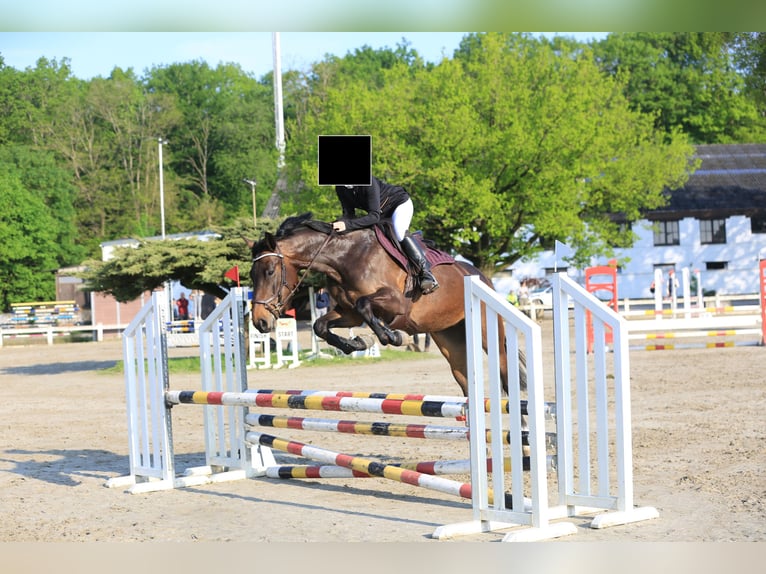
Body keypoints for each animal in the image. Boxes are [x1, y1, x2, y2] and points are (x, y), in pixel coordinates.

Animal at [249, 214, 524, 398]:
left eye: (270, 271)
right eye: (251, 275)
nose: (259, 321)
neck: (344, 258)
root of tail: (481, 276)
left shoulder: (397, 303)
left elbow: (366, 307)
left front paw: (392, 336)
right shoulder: (347, 313)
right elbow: (321, 325)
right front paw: (355, 344)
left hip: (489, 333)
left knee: (505, 373)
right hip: (450, 338)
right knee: (466, 381)